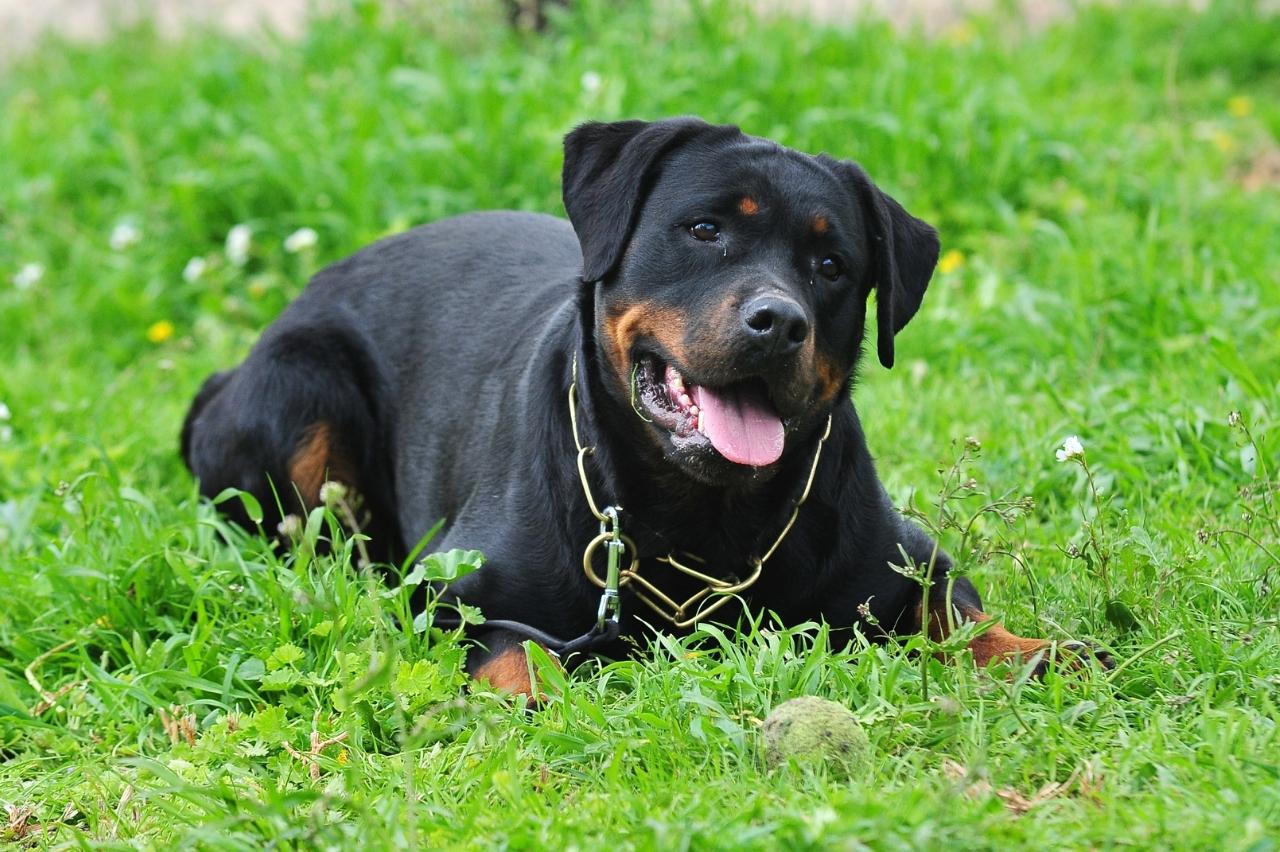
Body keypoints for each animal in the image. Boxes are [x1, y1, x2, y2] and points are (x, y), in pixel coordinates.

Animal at [177, 116, 1100, 695]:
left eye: (833, 265)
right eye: (704, 230)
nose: (779, 321)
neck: (704, 515)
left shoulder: (906, 558)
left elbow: (960, 615)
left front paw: (1038, 651)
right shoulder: (451, 588)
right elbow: (515, 648)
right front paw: (531, 696)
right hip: (298, 392)